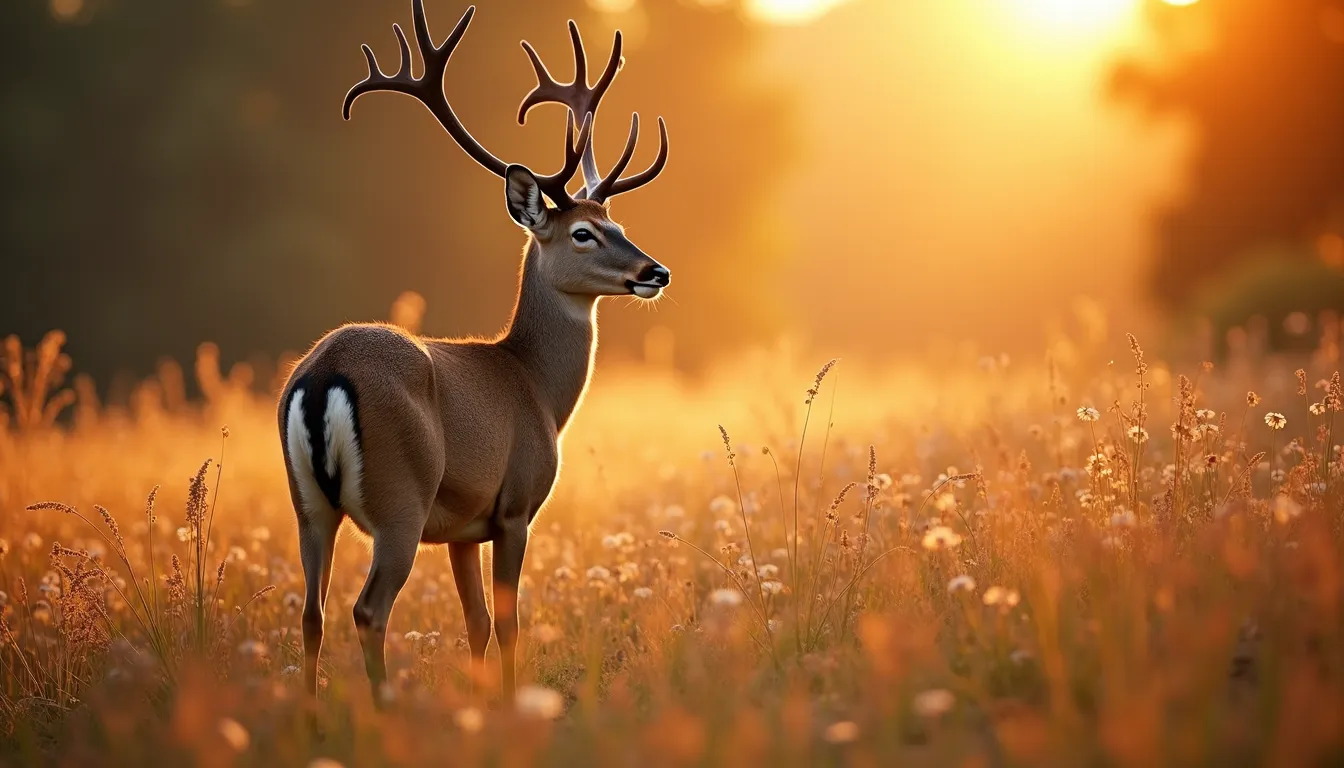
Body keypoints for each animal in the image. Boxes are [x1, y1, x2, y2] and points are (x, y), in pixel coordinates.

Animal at [278, 0, 669, 708]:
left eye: (619, 225)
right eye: (583, 233)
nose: (656, 272)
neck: (535, 386)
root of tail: (321, 377)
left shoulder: (461, 528)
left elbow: (477, 624)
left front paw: (486, 703)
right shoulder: (513, 507)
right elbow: (509, 621)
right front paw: (512, 706)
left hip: (308, 506)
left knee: (311, 611)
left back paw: (314, 716)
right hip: (400, 501)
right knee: (367, 609)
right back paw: (384, 711)